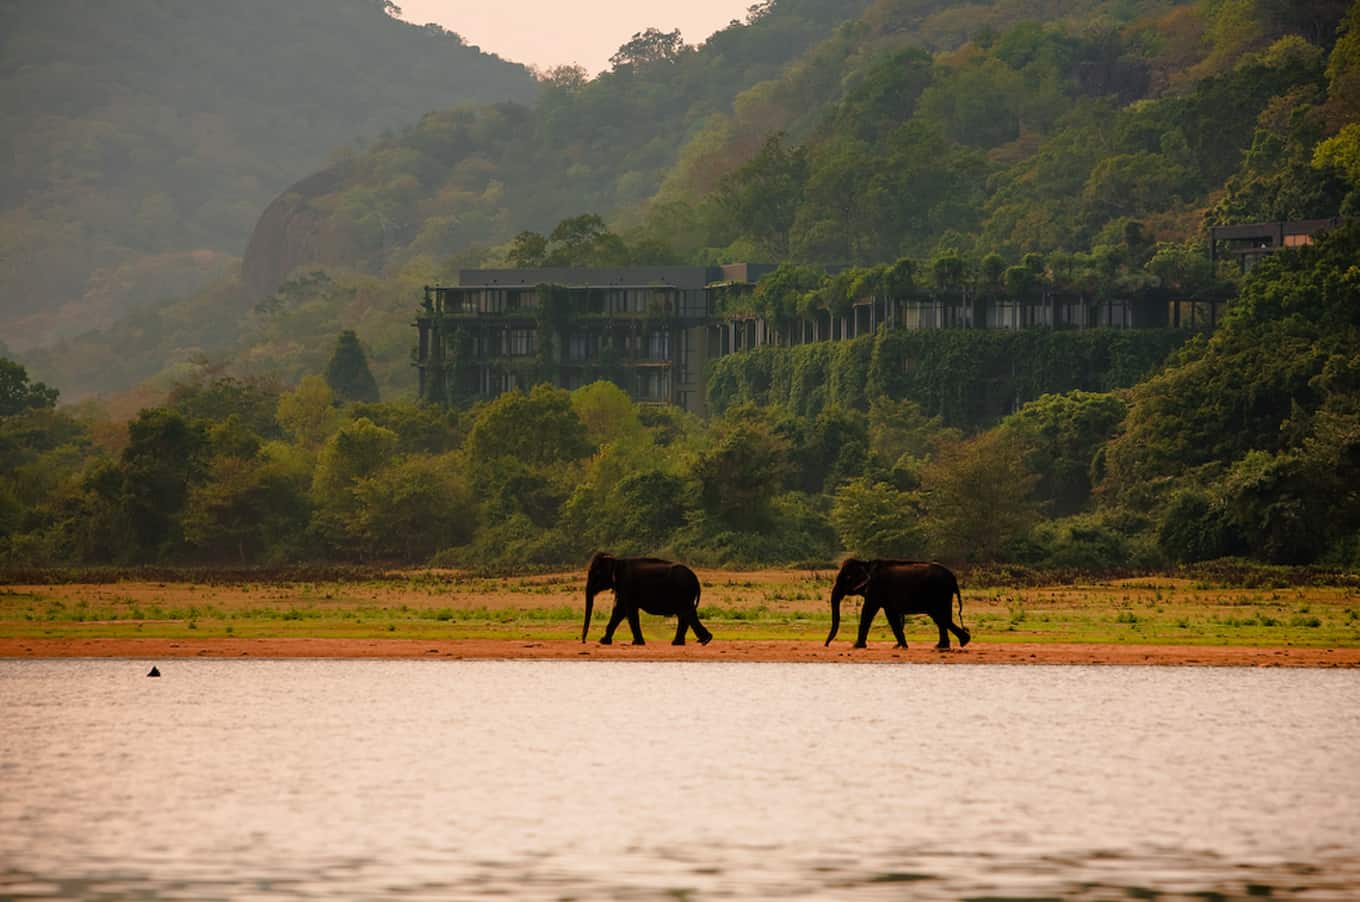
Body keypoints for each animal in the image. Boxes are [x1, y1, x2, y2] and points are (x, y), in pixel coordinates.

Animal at [582, 555, 718, 644]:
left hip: (683, 592)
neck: (616, 561)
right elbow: (619, 611)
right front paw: (603, 641)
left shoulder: (626, 586)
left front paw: (637, 643)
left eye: (596, 573)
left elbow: (628, 611)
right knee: (686, 614)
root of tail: (695, 578)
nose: (583, 641)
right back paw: (691, 641)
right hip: (685, 594)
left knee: (686, 613)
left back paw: (702, 640)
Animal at [821, 557, 973, 650]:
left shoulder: (876, 588)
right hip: (944, 593)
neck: (865, 563)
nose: (826, 645)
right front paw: (901, 646)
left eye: (846, 578)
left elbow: (868, 611)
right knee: (942, 617)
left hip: (939, 592)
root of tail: (953, 578)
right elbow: (891, 616)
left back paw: (961, 642)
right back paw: (945, 645)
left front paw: (856, 646)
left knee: (940, 616)